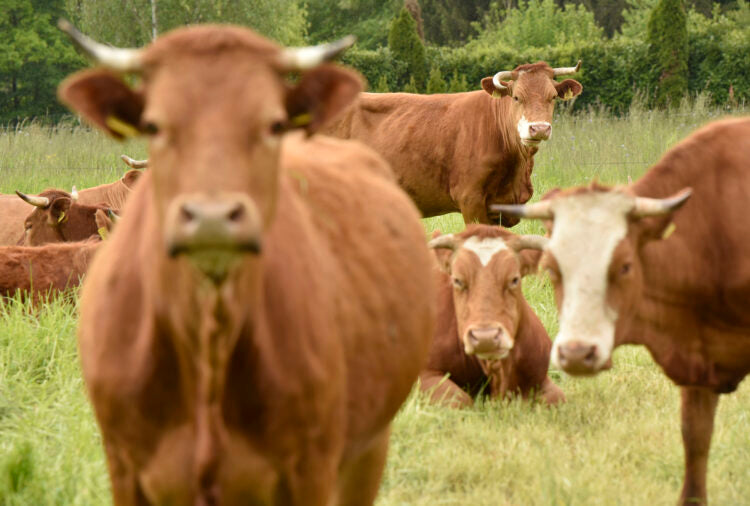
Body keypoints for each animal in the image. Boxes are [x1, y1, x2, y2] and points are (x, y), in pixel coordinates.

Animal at [58, 20, 438, 506]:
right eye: (153, 125)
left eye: (273, 124)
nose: (213, 218)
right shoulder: (123, 467)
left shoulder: (312, 469)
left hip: (368, 449)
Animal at [424, 227, 564, 410]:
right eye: (457, 280)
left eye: (514, 279)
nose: (486, 337)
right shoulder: (425, 375)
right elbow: (461, 400)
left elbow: (556, 398)